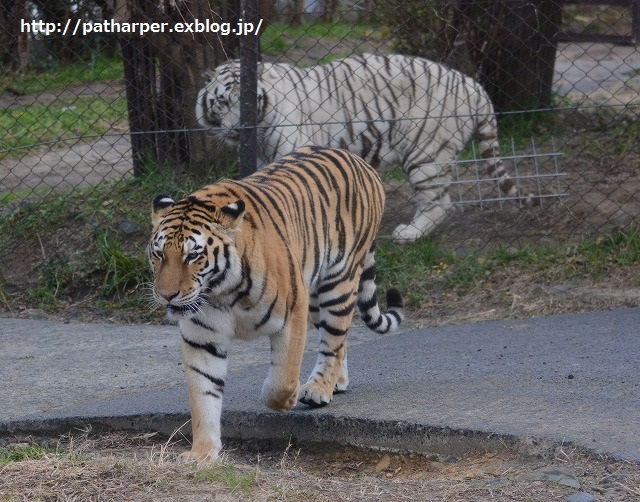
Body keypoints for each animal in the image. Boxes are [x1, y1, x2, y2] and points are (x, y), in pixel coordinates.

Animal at [196, 54, 524, 242]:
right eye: (223, 101)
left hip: (426, 152)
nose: (239, 128)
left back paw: (409, 234)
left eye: (248, 104)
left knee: (439, 203)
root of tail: (473, 84)